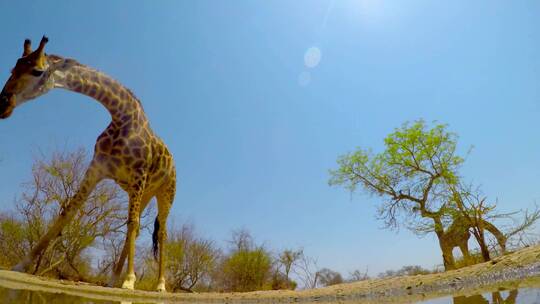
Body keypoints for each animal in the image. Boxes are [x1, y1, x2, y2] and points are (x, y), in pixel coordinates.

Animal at [0, 36, 175, 292]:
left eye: (37, 71)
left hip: (164, 193)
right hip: (144, 194)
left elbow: (132, 224)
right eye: (13, 69)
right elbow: (68, 212)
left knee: (161, 233)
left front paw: (130, 281)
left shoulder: (138, 175)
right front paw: (22, 264)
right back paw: (113, 279)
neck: (122, 116)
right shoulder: (97, 169)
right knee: (137, 227)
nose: (2, 104)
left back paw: (160, 285)